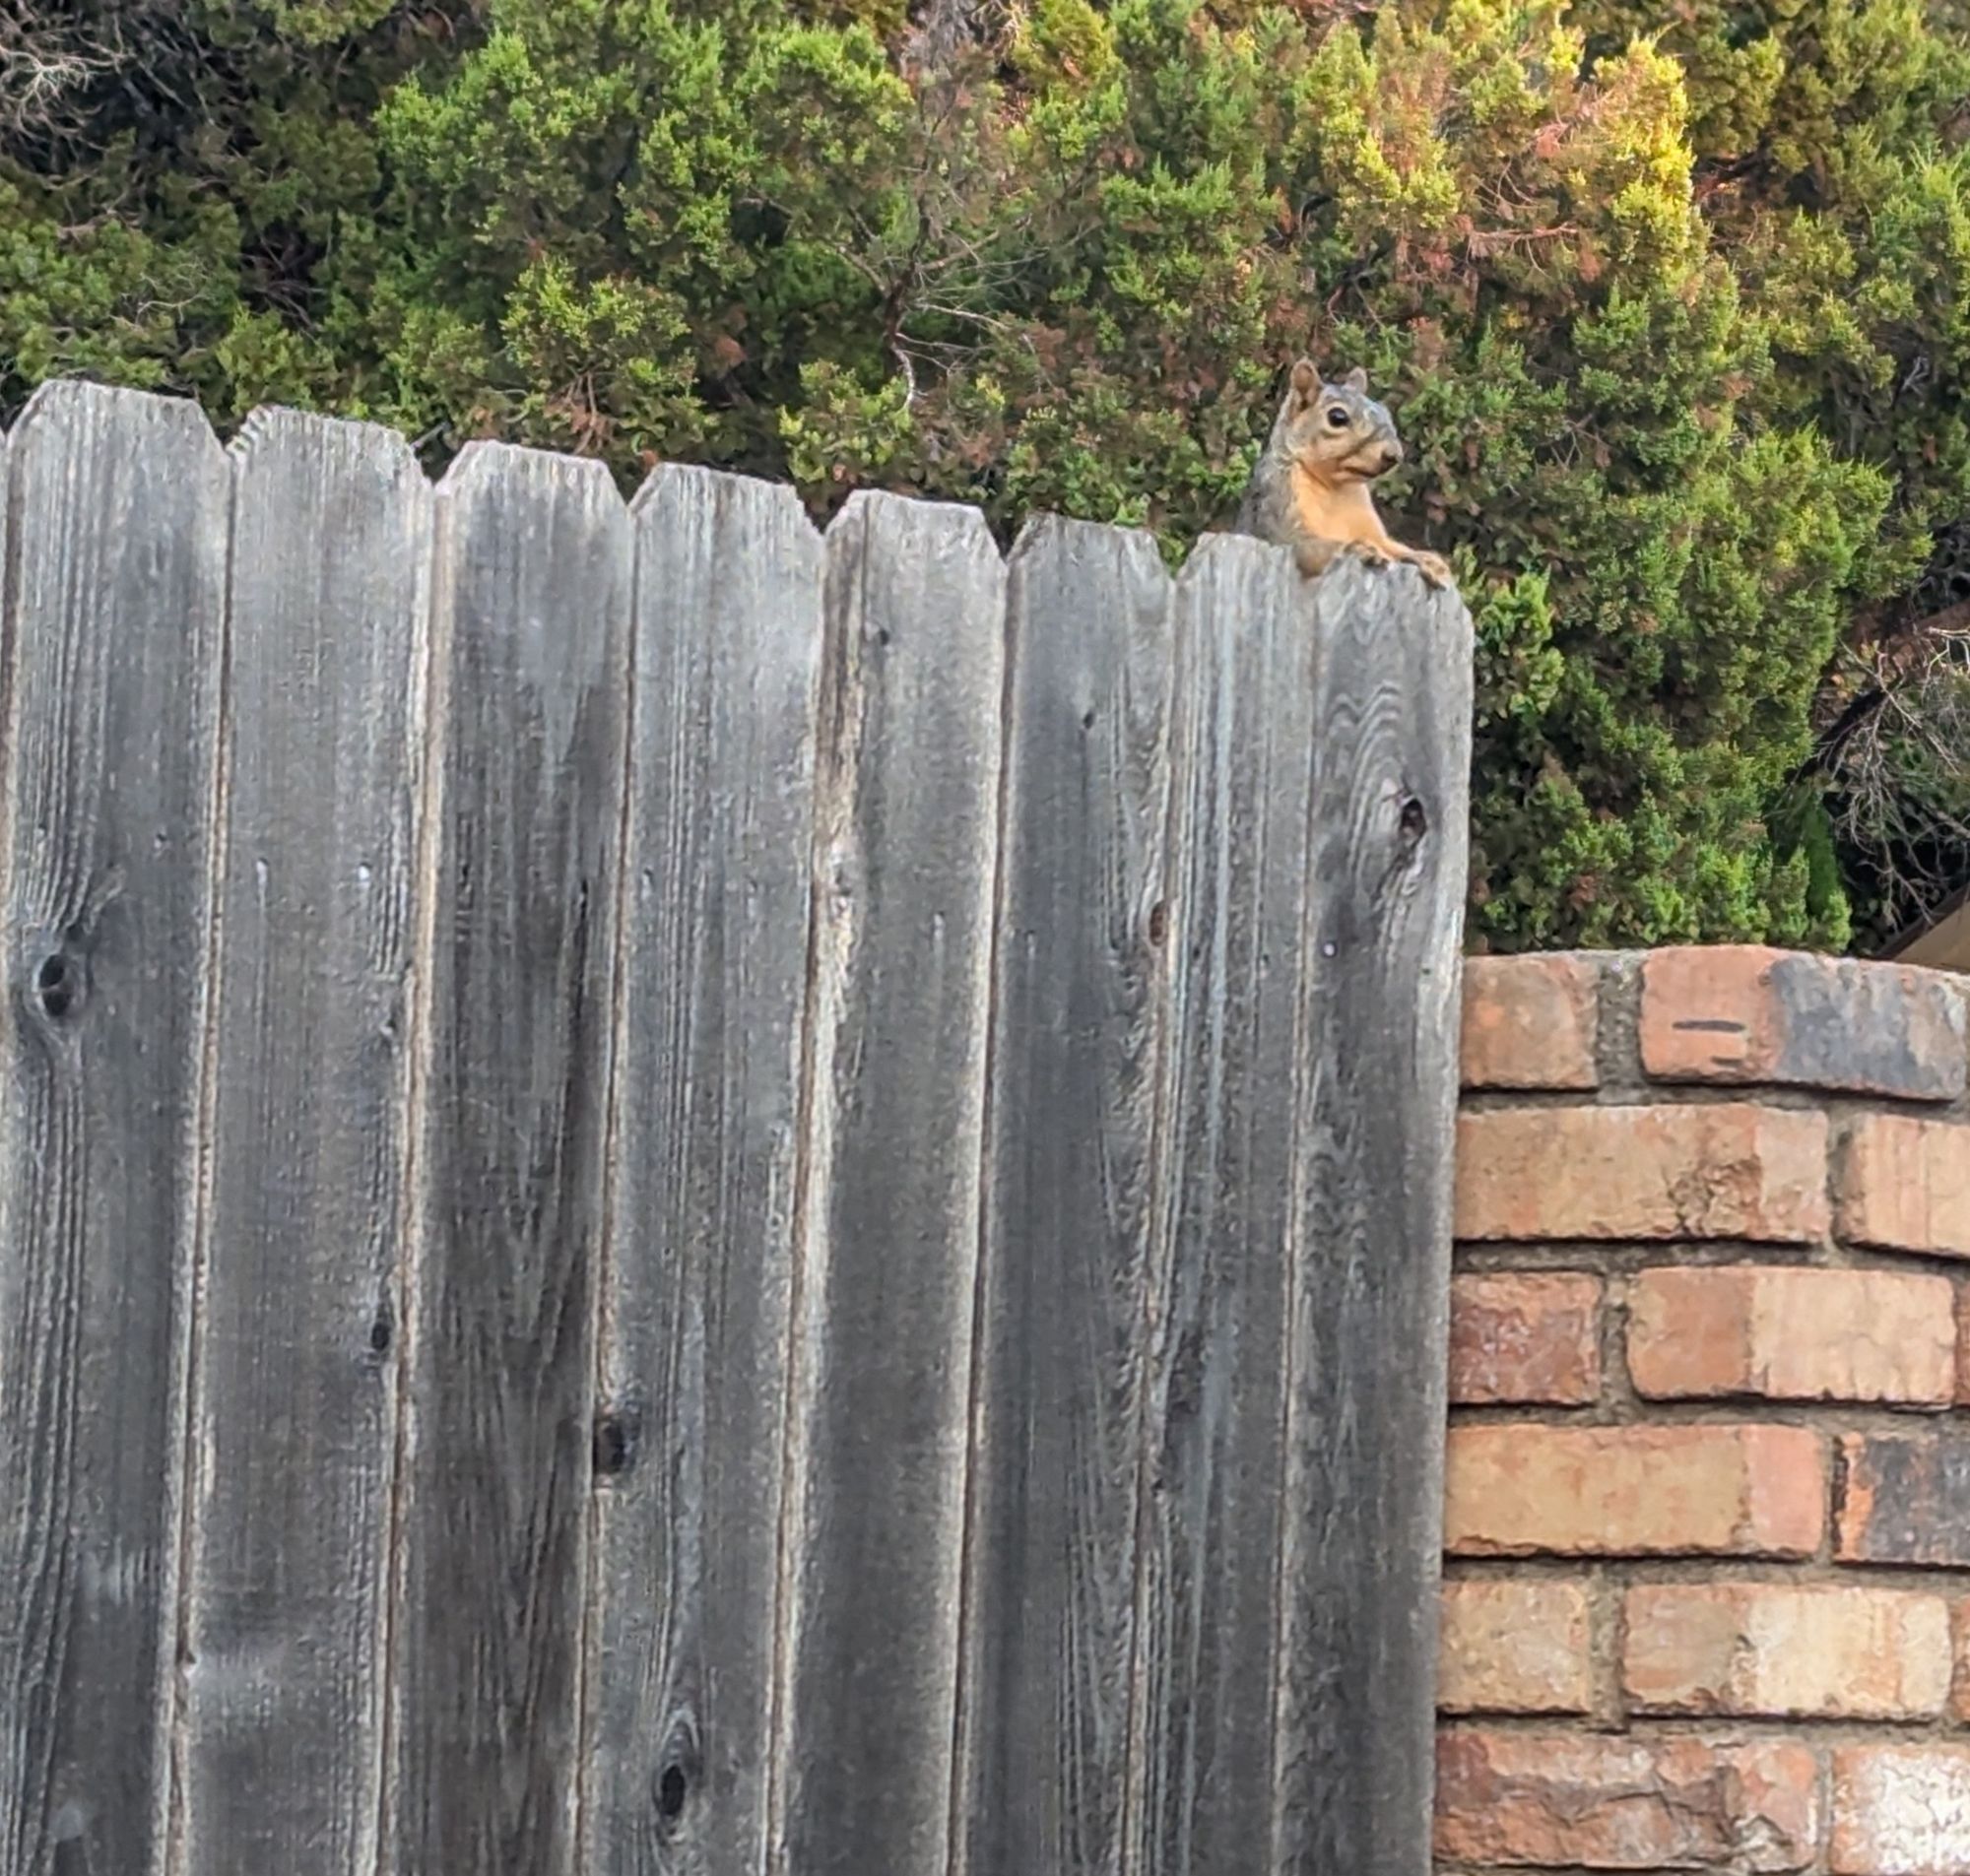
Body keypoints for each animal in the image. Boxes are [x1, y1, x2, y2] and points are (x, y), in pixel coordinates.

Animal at [1237, 355, 1458, 583]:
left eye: (1386, 414)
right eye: (1337, 417)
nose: (1394, 454)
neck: (1337, 490)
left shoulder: (1371, 529)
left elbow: (1392, 547)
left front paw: (1428, 560)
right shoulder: (1279, 516)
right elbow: (1313, 545)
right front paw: (1362, 549)